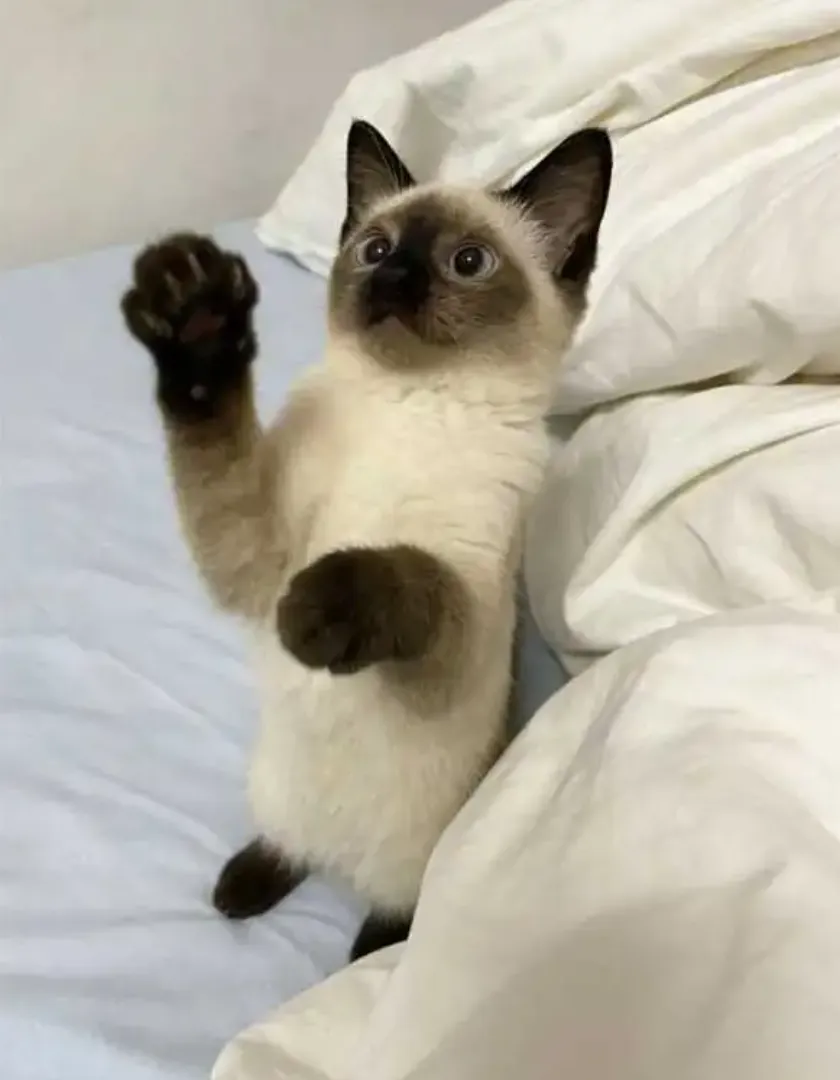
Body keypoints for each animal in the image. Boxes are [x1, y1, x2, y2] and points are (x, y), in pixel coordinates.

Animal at [120, 119, 612, 961]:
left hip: (417, 858)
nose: (394, 280)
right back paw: (242, 888)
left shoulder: (460, 624)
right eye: (377, 250)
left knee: (386, 914)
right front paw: (198, 319)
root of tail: (346, 863)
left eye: (467, 263)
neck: (404, 401)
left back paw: (364, 943)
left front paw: (324, 608)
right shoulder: (254, 560)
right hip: (277, 789)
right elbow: (213, 431)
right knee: (292, 847)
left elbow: (408, 572)